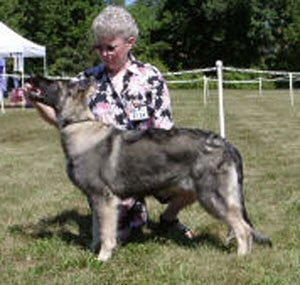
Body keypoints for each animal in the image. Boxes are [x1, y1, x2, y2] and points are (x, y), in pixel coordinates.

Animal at [27, 76, 272, 260]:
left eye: (53, 83)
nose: (31, 78)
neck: (79, 125)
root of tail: (226, 144)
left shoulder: (104, 199)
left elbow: (106, 233)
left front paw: (102, 258)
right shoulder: (95, 200)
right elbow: (98, 230)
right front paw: (92, 249)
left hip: (211, 197)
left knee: (243, 228)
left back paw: (241, 257)